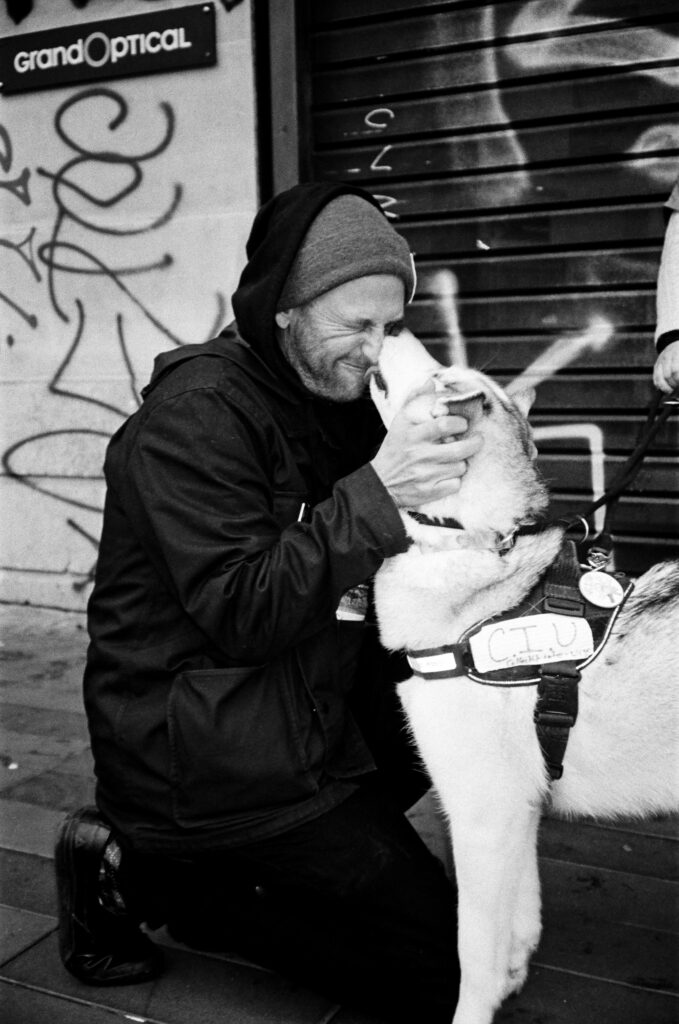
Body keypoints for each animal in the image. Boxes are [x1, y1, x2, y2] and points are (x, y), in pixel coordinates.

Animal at [372, 331, 679, 1019]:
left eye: (441, 375)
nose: (392, 327)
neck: (469, 545)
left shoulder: (480, 812)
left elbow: (472, 952)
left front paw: (473, 1012)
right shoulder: (518, 805)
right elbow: (520, 914)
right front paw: (513, 973)